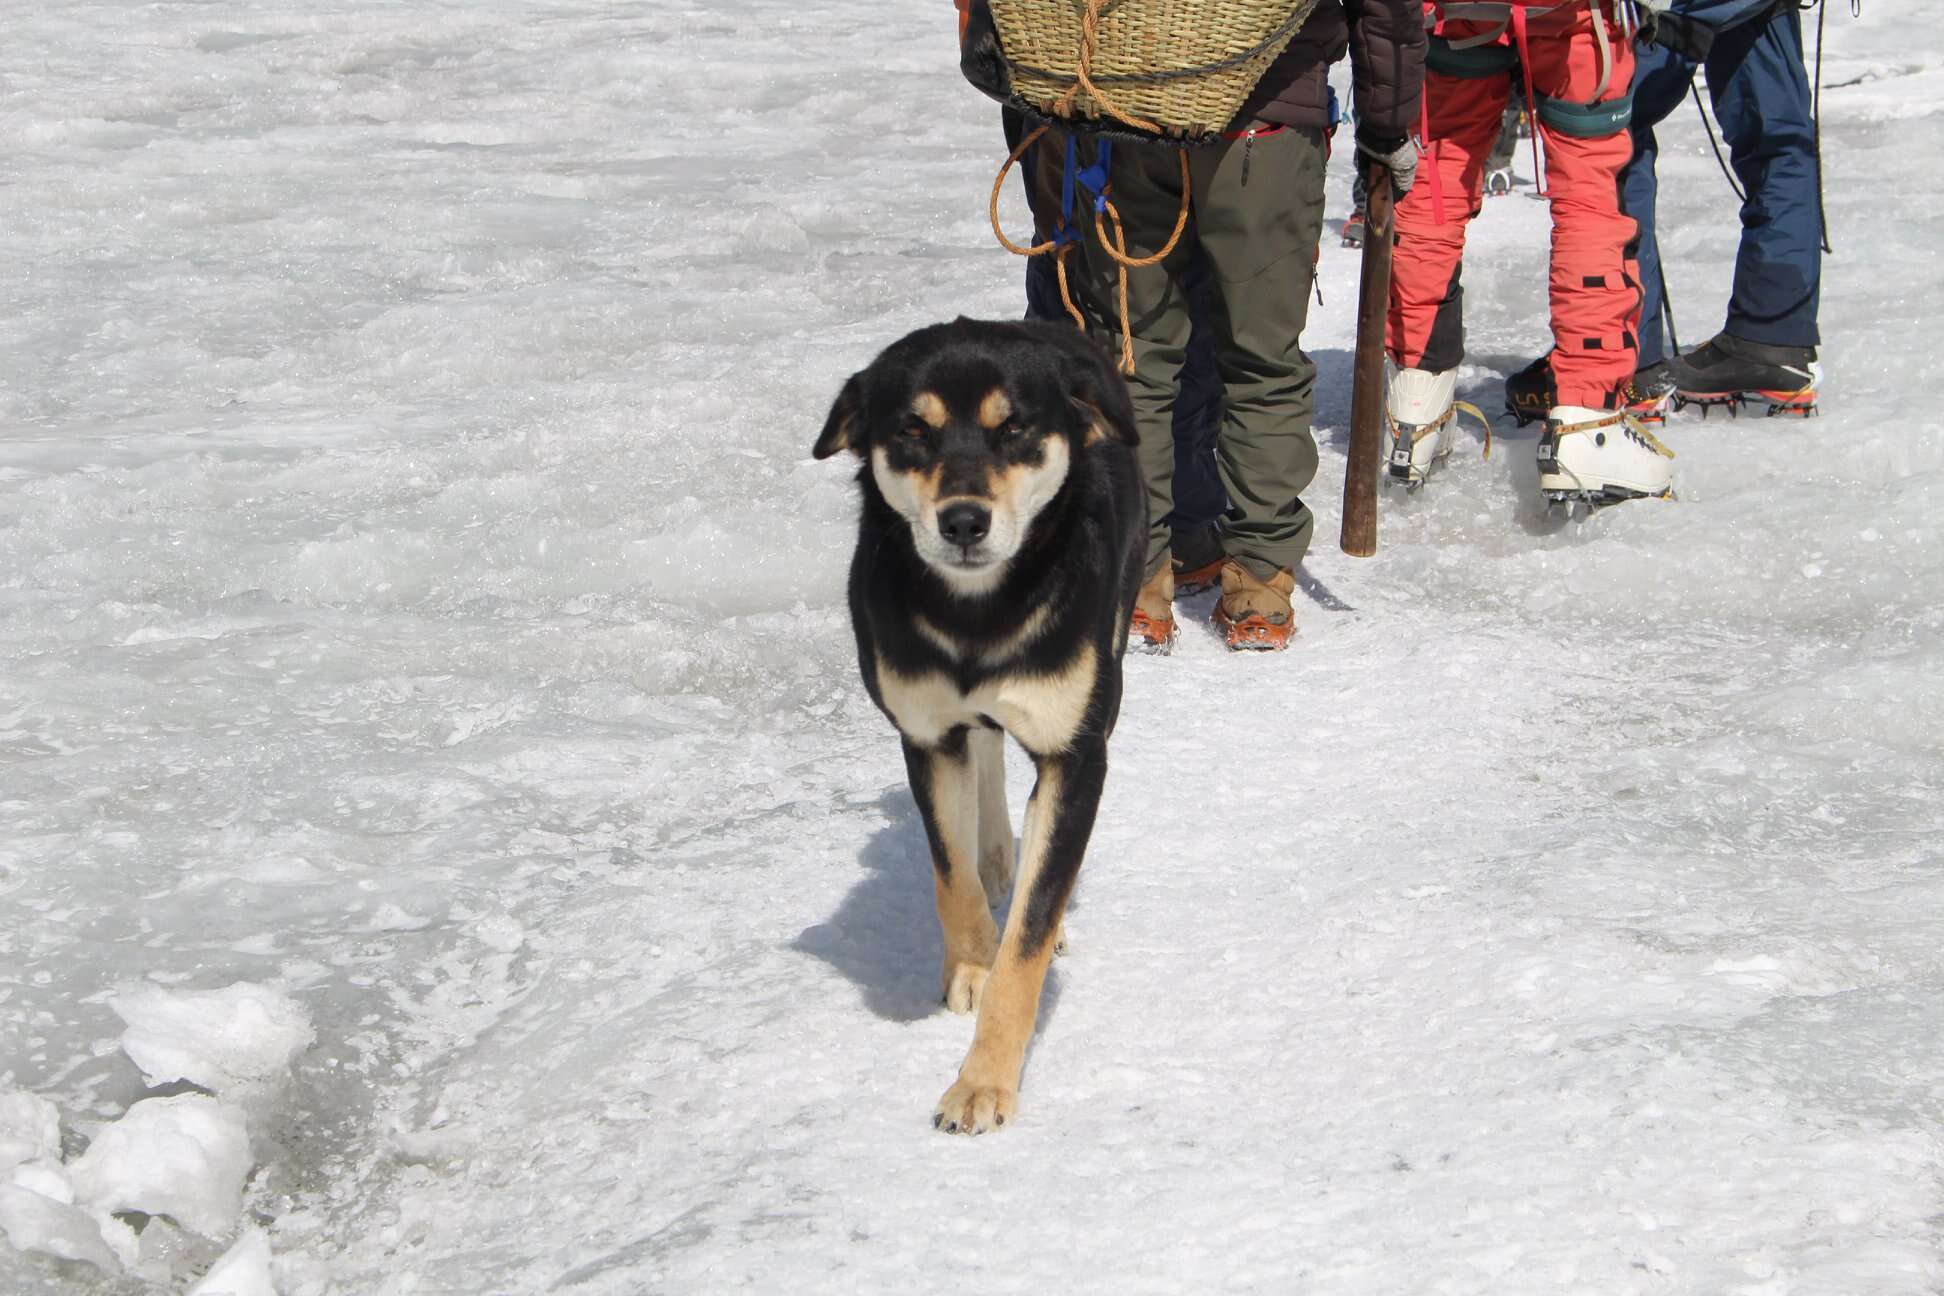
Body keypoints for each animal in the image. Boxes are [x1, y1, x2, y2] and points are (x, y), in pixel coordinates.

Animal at [812, 316, 1143, 1134]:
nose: (964, 520)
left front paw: (984, 1080)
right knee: (987, 761)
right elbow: (950, 875)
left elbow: (1029, 939)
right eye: (913, 430)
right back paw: (999, 854)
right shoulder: (926, 735)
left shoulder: (1076, 755)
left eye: (1013, 428)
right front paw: (970, 964)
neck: (978, 616)